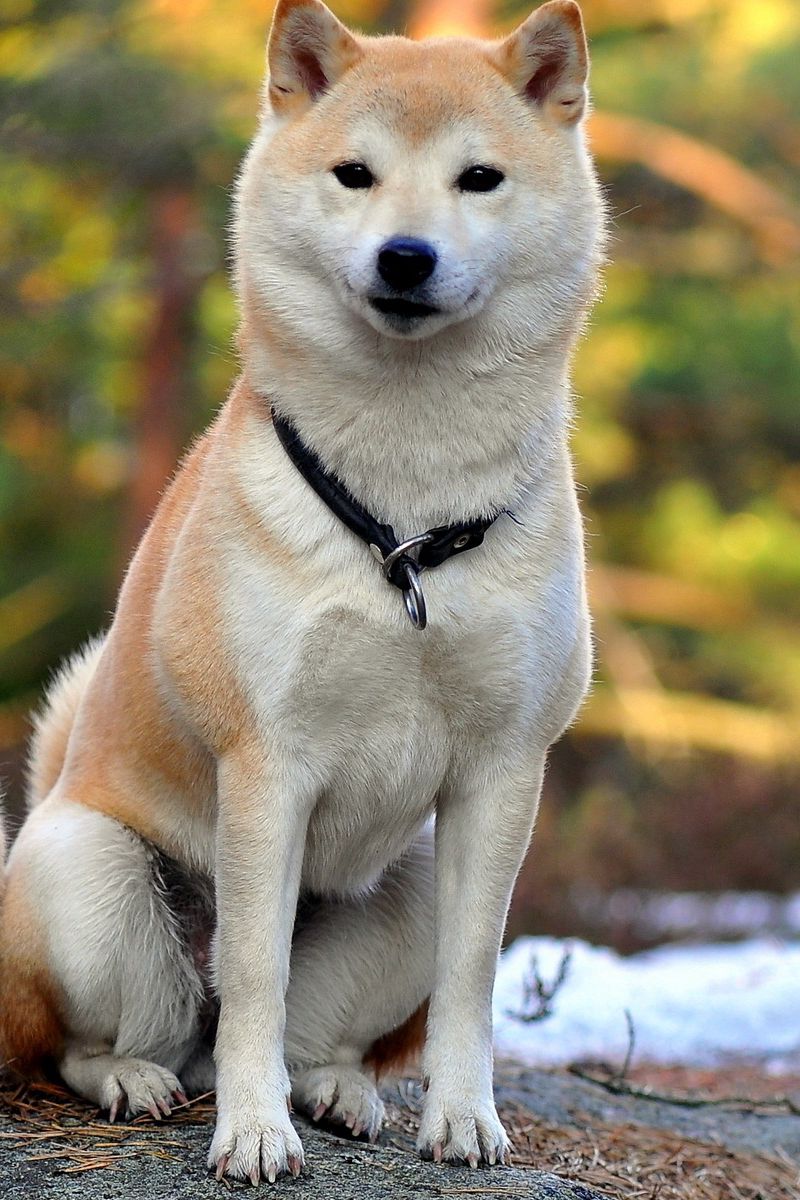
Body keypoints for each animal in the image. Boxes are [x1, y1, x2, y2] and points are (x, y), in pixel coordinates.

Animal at [0, 0, 604, 1180]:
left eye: (478, 179)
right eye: (354, 174)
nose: (405, 256)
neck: (405, 520)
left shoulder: (503, 771)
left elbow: (471, 979)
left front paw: (462, 1117)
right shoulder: (265, 763)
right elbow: (254, 975)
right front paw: (251, 1131)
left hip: (408, 884)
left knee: (321, 1036)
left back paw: (336, 1092)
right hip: (87, 877)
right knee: (108, 1036)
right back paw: (141, 1080)